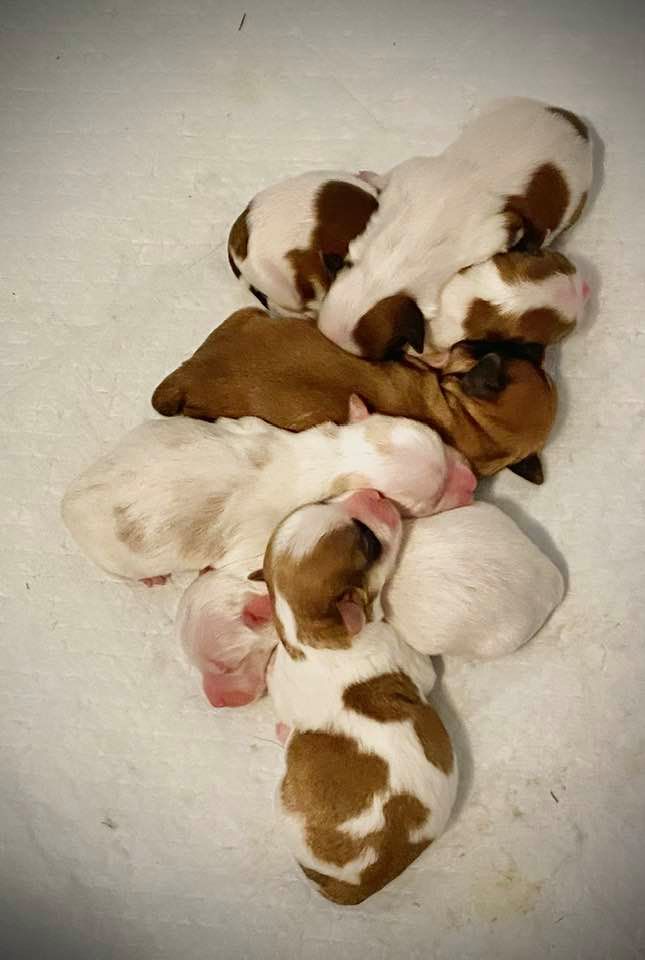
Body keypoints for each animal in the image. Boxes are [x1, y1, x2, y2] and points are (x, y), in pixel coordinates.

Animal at [258, 490, 457, 905]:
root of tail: (358, 884)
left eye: (323, 500)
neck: (311, 635)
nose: (374, 493)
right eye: (369, 544)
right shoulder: (404, 650)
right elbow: (427, 675)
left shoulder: (280, 671)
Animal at [317, 98, 593, 358]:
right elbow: (389, 177)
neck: (390, 265)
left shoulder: (491, 234)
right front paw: (371, 178)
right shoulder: (411, 177)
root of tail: (577, 124)